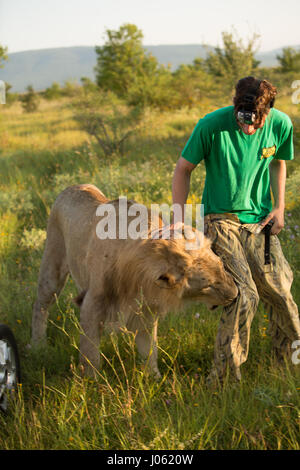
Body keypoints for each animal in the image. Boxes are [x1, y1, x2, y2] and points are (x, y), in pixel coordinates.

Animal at [31, 184, 238, 378]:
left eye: (222, 265)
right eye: (208, 285)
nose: (235, 294)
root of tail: (72, 187)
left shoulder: (146, 308)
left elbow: (149, 348)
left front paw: (154, 378)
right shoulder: (92, 303)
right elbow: (90, 352)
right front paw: (91, 382)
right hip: (53, 266)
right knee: (40, 305)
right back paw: (38, 346)